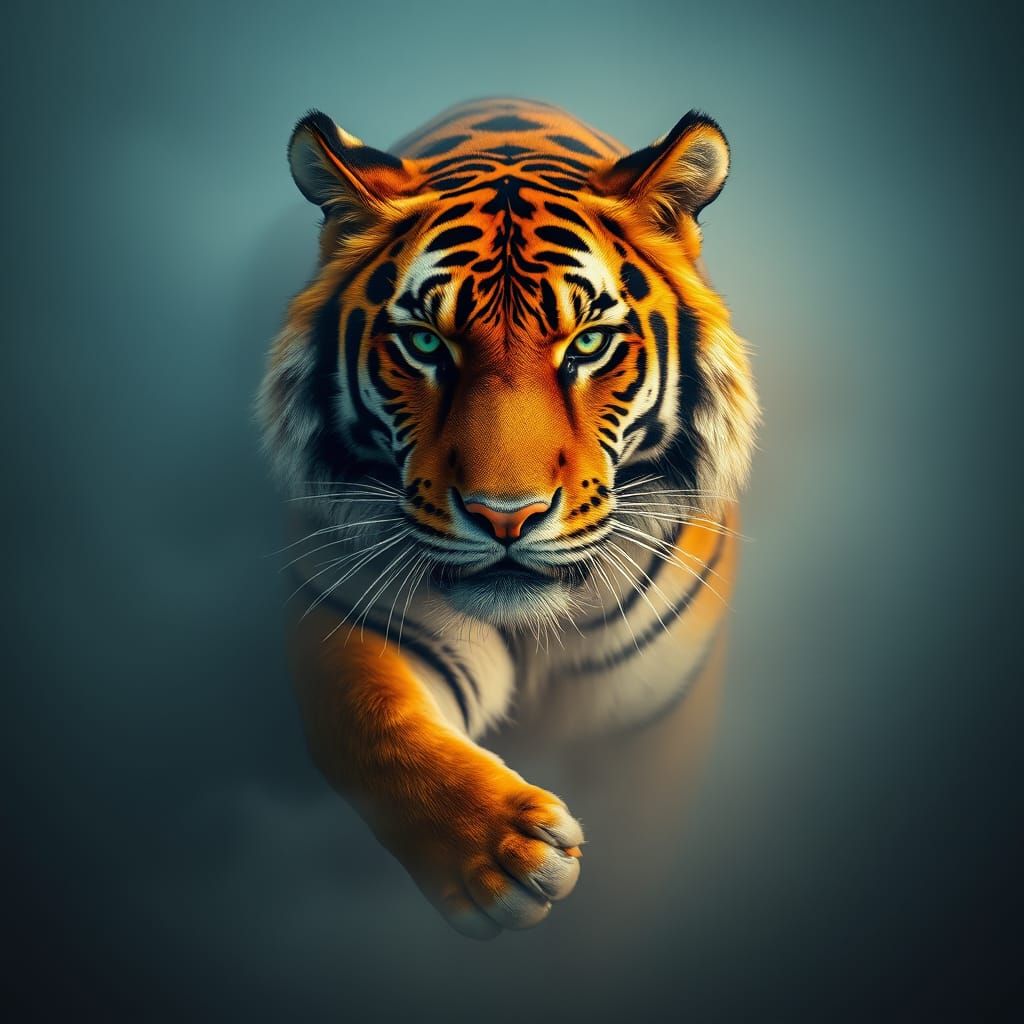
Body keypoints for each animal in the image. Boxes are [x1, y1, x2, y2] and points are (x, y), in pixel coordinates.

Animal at [258, 97, 758, 939]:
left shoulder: (647, 714)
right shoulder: (345, 611)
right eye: (425, 342)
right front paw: (506, 852)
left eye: (589, 342)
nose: (506, 517)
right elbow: (370, 726)